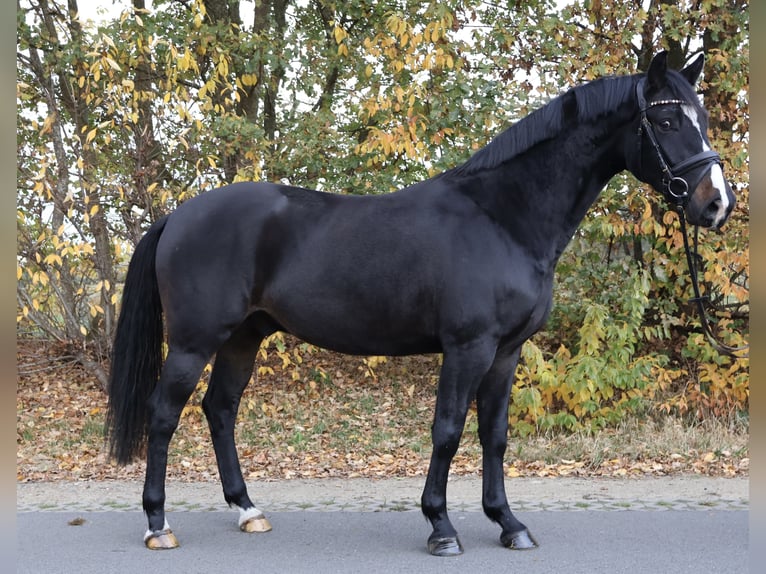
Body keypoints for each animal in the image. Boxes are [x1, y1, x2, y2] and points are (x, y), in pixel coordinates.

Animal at [106, 51, 735, 556]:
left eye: (702, 119)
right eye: (666, 119)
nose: (716, 204)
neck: (503, 217)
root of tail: (178, 216)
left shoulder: (506, 353)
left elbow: (495, 435)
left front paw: (508, 523)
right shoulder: (467, 348)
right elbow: (448, 431)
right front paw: (441, 527)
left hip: (245, 336)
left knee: (221, 410)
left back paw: (247, 510)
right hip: (194, 342)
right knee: (164, 415)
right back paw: (158, 524)